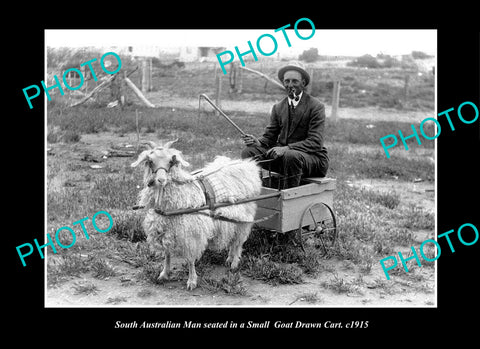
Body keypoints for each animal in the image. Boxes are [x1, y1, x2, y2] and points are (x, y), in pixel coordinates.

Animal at [130, 138, 262, 288]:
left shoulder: (191, 234)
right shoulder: (166, 230)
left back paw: (234, 263)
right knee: (233, 240)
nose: (161, 180)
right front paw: (164, 274)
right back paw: (229, 258)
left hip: (243, 219)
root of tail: (248, 165)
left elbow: (191, 259)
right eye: (151, 161)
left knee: (238, 243)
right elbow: (167, 254)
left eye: (171, 161)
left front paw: (192, 281)